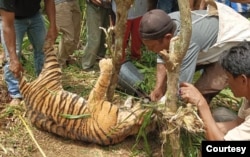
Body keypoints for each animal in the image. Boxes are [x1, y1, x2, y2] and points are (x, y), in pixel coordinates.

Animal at [18, 46, 154, 145]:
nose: (147, 98)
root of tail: (26, 92)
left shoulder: (95, 101)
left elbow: (102, 83)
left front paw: (106, 63)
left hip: (53, 70)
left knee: (47, 45)